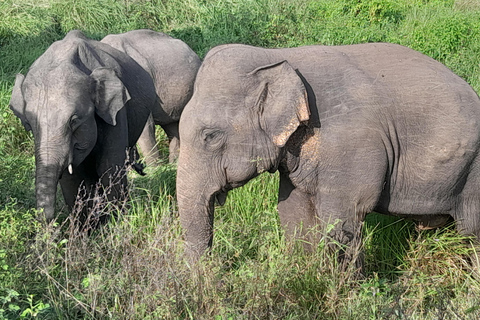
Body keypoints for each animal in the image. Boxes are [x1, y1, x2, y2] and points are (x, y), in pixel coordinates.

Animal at [9, 31, 158, 224]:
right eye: (30, 123)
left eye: (73, 120)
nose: (50, 225)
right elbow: (71, 180)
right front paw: (86, 228)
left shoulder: (116, 115)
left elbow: (109, 168)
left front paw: (115, 225)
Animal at [177, 42, 480, 268]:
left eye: (211, 136)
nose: (213, 273)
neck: (276, 56)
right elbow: (293, 210)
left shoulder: (348, 144)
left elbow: (343, 217)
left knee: (471, 230)